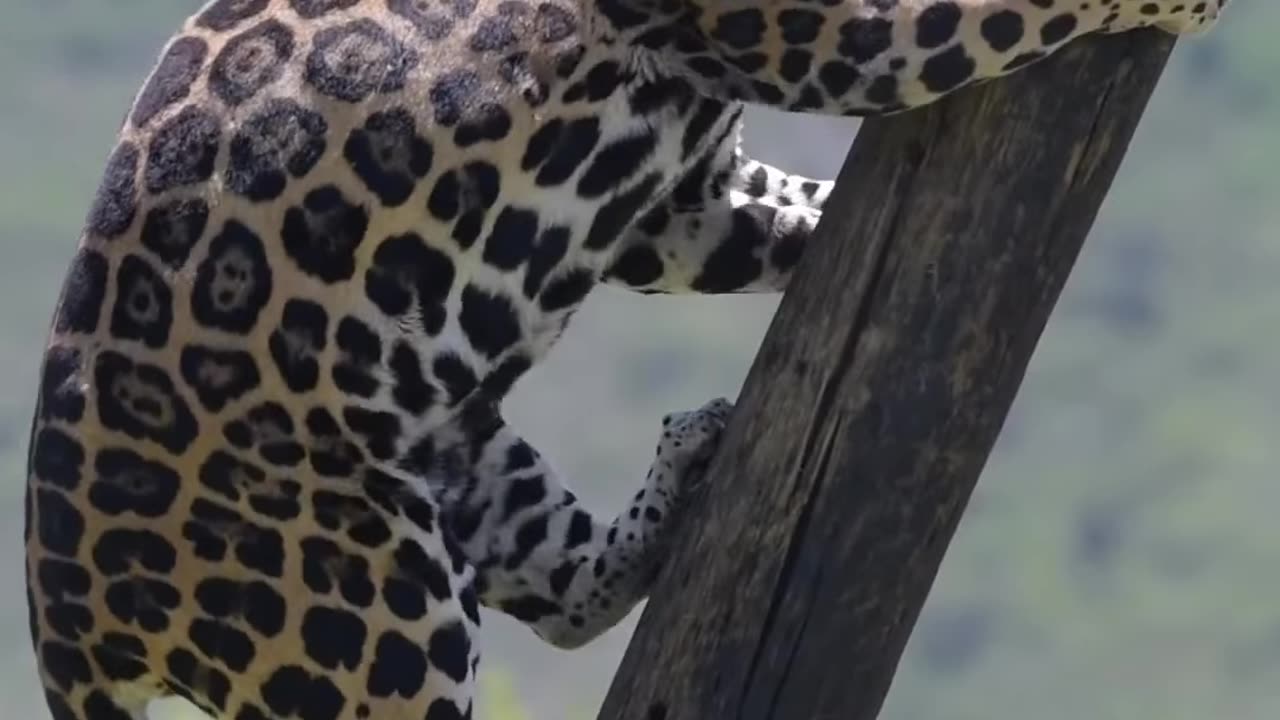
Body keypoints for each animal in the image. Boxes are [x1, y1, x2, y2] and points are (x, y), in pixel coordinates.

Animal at [24, 0, 1228, 712]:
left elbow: (778, 211)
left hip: (447, 455)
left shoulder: (683, 198)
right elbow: (1002, 10)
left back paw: (681, 467)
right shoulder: (830, 29)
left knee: (565, 597)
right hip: (362, 603)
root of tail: (61, 611)